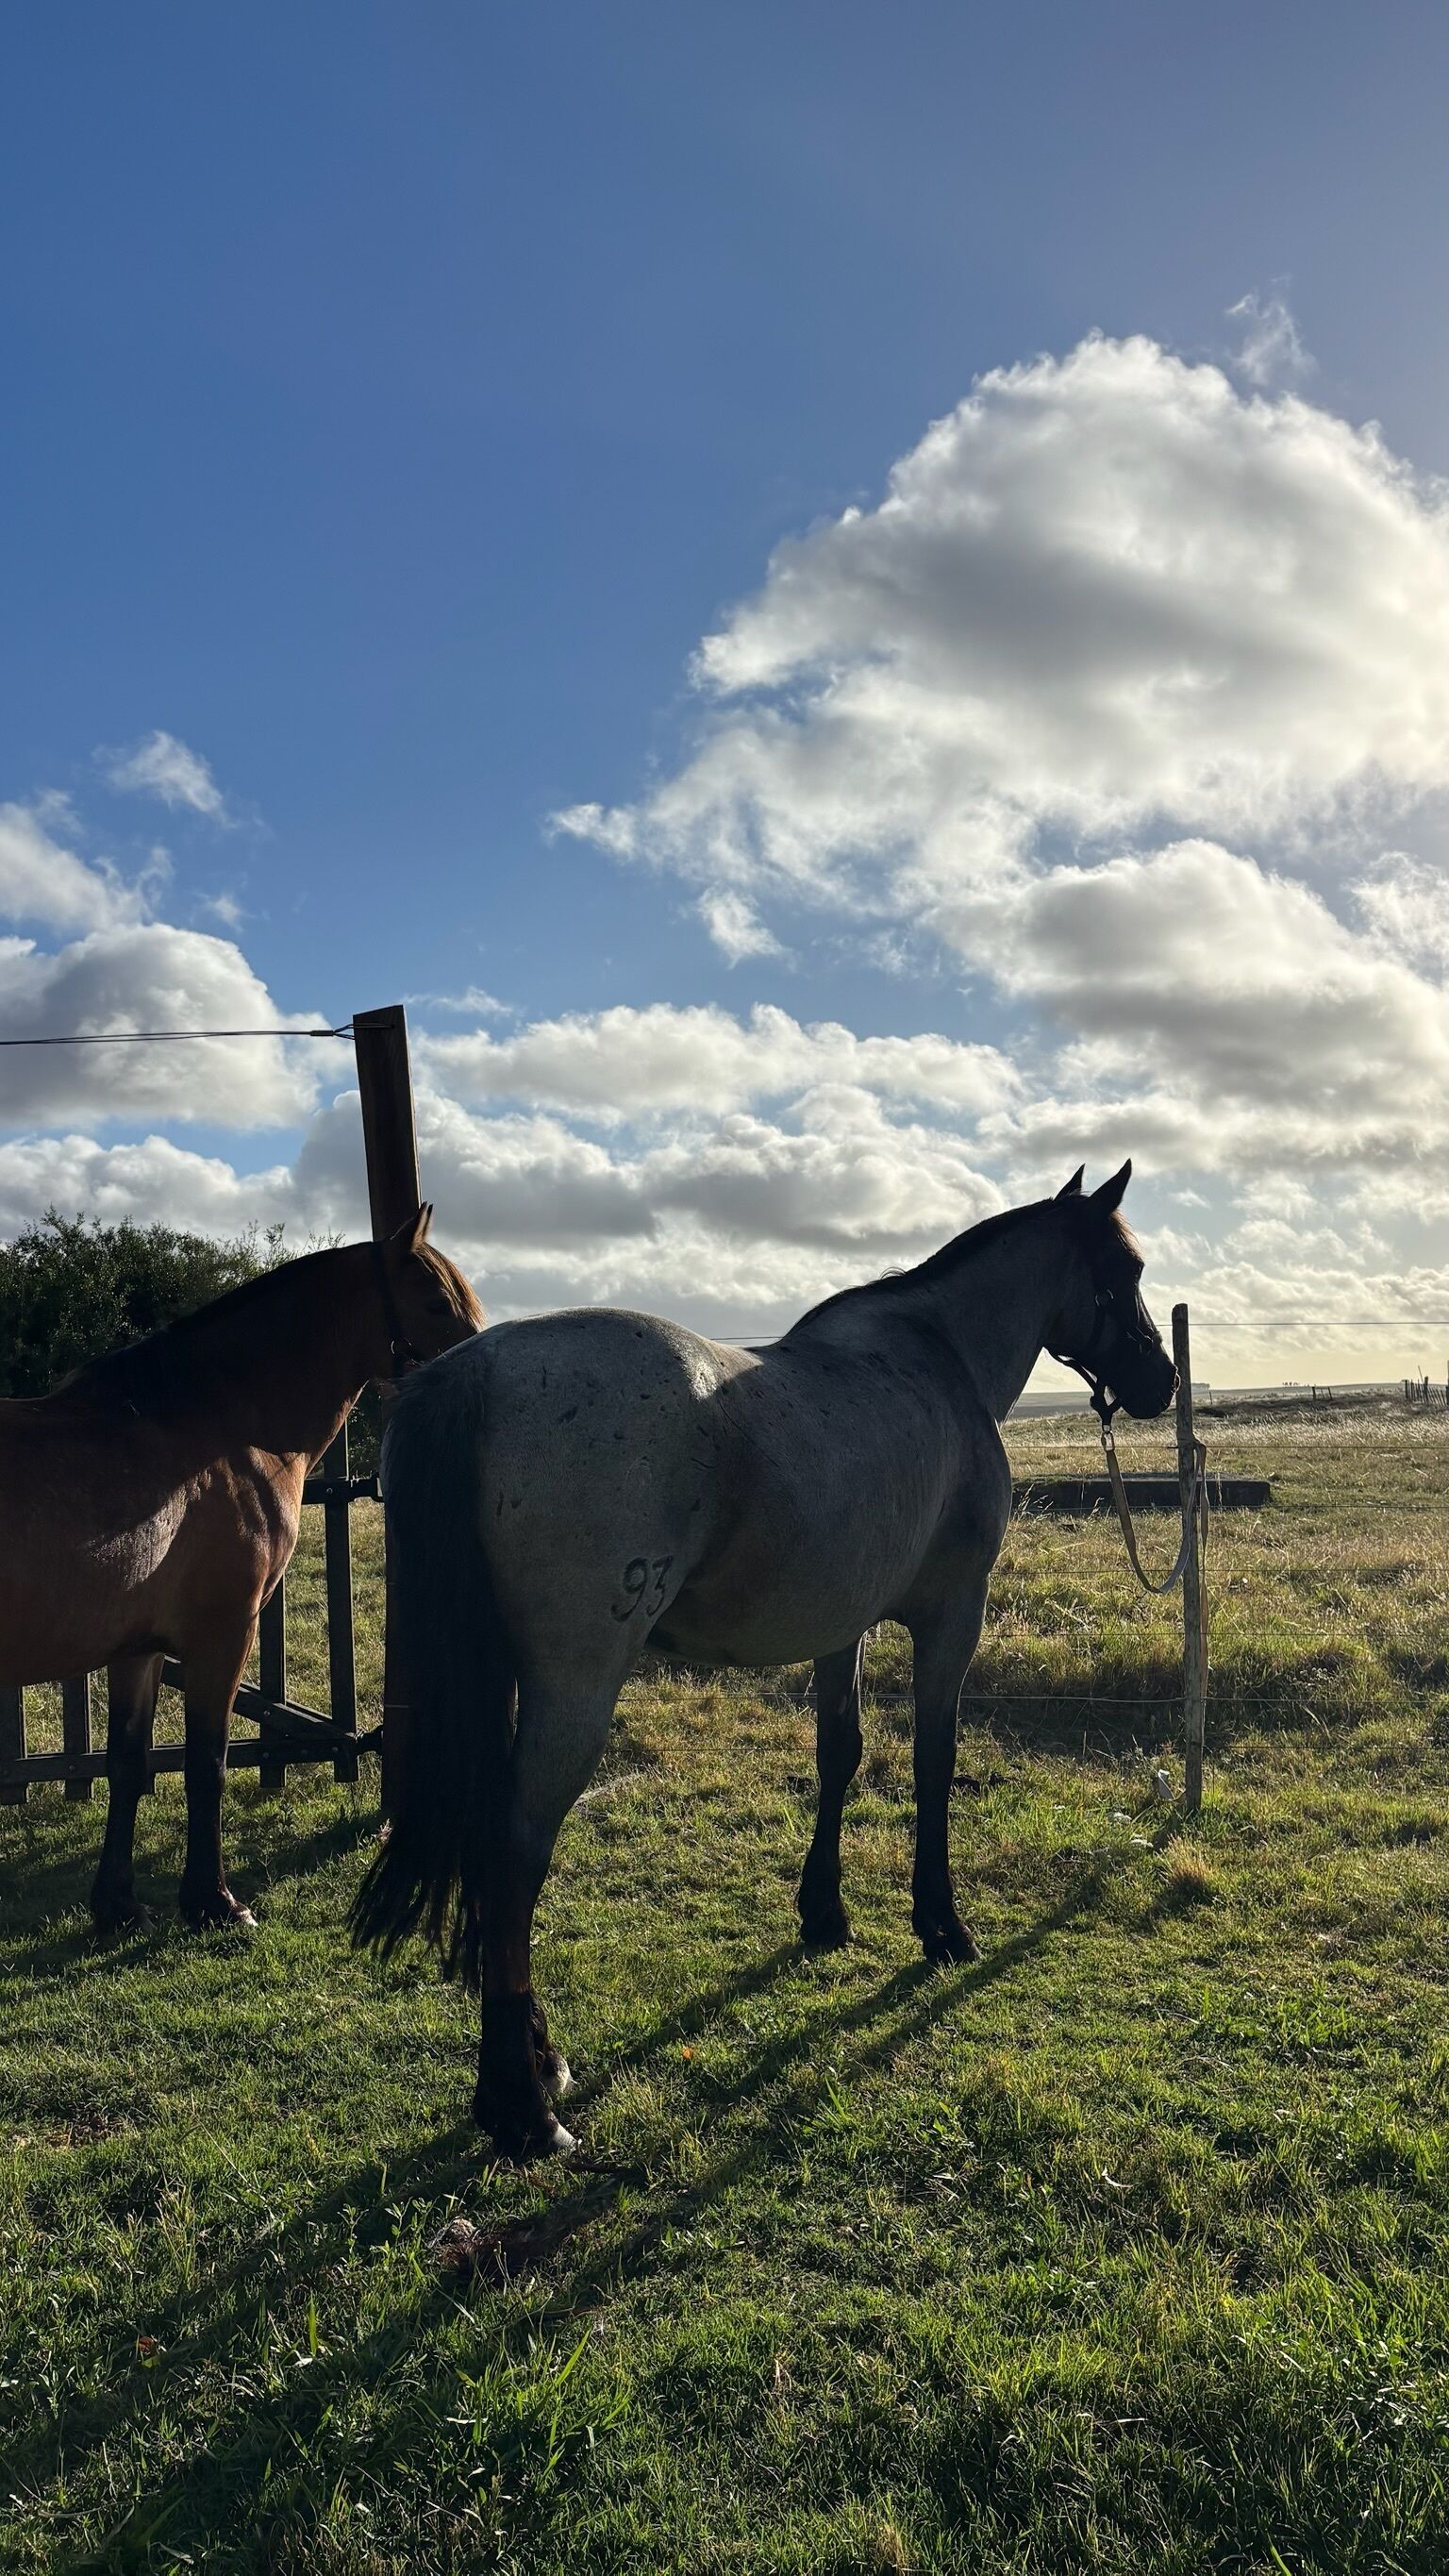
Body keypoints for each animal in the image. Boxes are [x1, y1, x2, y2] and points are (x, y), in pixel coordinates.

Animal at [0, 1207, 481, 1934]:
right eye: (434, 1302)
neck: (220, 1431)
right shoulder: (222, 1636)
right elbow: (207, 1762)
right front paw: (214, 1902)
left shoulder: (137, 1650)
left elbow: (128, 1764)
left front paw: (119, 1906)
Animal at [351, 1161, 1177, 2159]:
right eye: (1126, 1272)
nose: (1161, 1379)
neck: (936, 1358)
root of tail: (473, 1370)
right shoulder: (953, 1618)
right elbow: (933, 1762)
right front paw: (940, 1925)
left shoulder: (840, 1627)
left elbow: (840, 1755)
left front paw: (824, 1912)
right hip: (572, 1689)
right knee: (513, 1852)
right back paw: (522, 2105)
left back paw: (538, 2067)